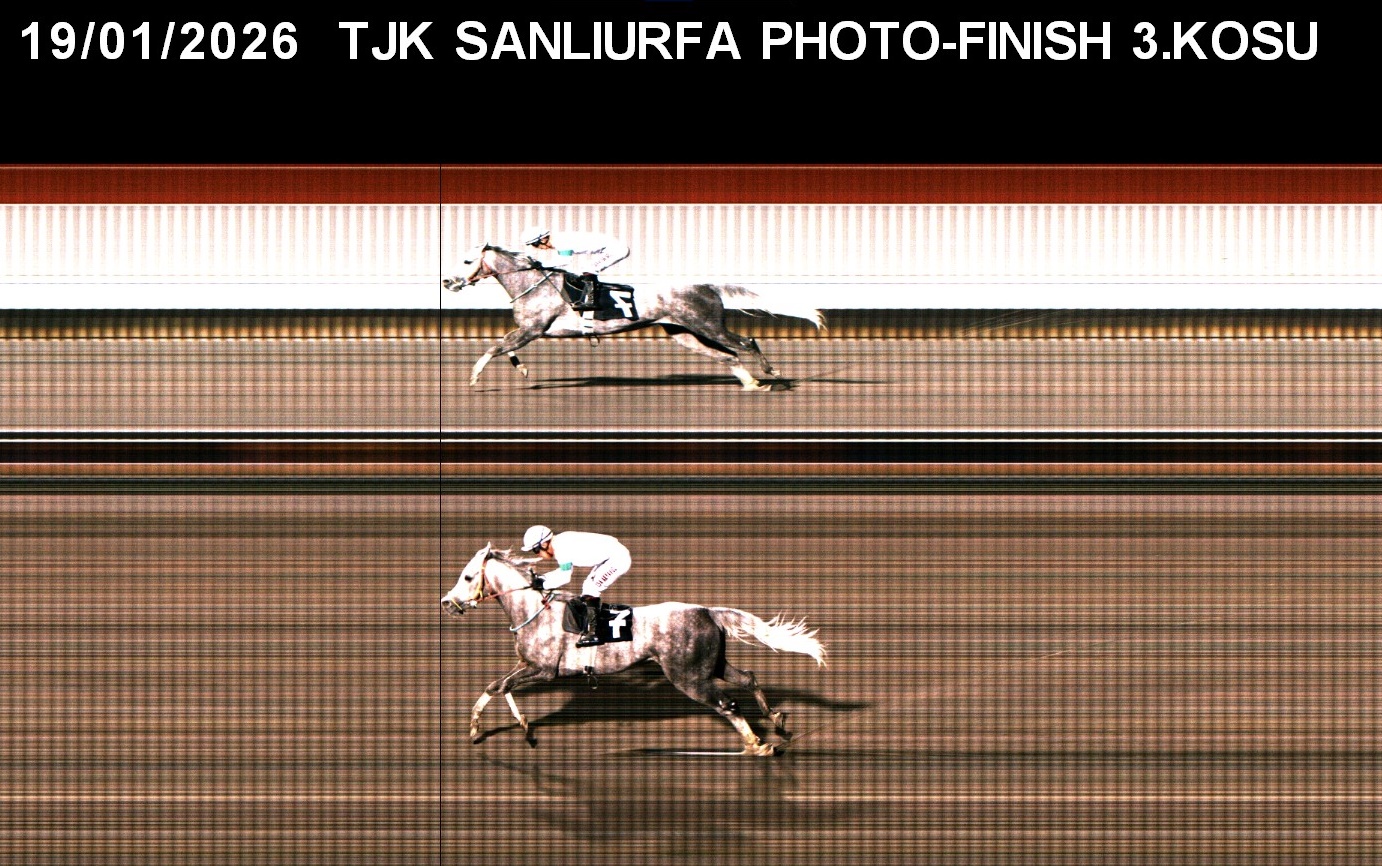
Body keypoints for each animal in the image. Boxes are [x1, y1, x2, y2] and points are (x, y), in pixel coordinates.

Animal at [441, 543, 827, 756]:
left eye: (468, 577)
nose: (446, 603)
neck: (531, 609)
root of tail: (708, 610)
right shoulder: (527, 665)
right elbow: (496, 686)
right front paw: (481, 730)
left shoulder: (544, 670)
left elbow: (501, 686)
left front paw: (520, 728)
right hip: (710, 665)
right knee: (747, 677)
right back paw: (777, 722)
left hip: (687, 676)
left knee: (727, 704)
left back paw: (758, 744)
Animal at [443, 244, 826, 391]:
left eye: (466, 261)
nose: (448, 281)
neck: (530, 283)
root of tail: (708, 285)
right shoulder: (529, 331)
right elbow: (505, 348)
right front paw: (522, 371)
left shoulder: (534, 328)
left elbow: (493, 348)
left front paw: (473, 379)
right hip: (683, 333)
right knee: (727, 356)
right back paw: (750, 383)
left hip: (707, 324)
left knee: (746, 341)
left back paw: (772, 373)